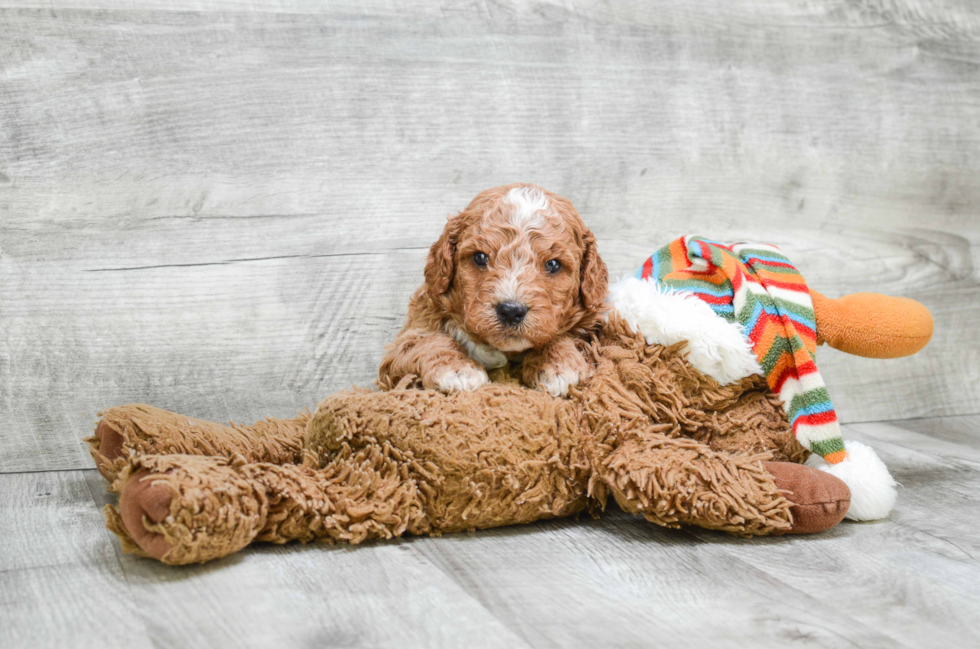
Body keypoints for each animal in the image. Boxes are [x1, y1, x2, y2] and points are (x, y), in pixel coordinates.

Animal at [378, 181, 608, 394]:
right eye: (480, 257)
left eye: (553, 264)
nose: (511, 311)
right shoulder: (404, 341)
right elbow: (429, 341)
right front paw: (457, 369)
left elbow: (562, 335)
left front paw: (558, 366)